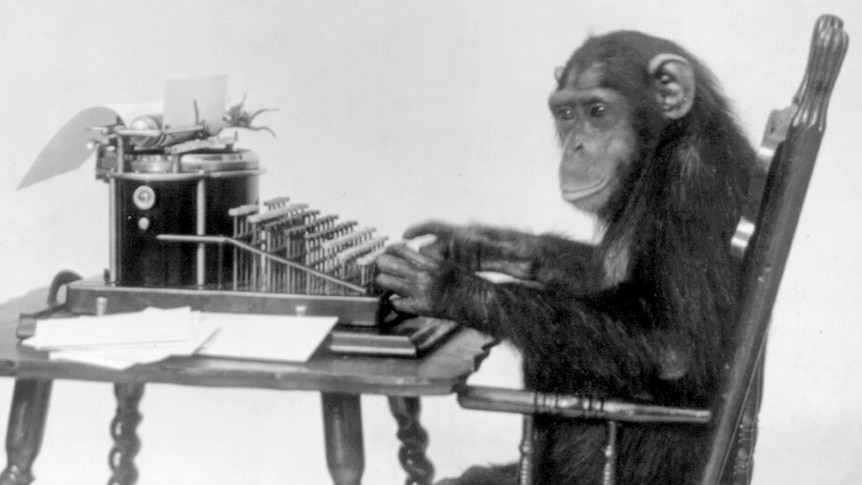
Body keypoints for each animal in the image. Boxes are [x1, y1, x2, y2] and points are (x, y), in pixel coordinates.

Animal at [378, 31, 756, 484]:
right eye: (566, 114)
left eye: (599, 112)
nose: (577, 146)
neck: (665, 146)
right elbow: (597, 274)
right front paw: (471, 243)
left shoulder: (693, 185)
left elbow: (676, 349)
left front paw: (447, 287)